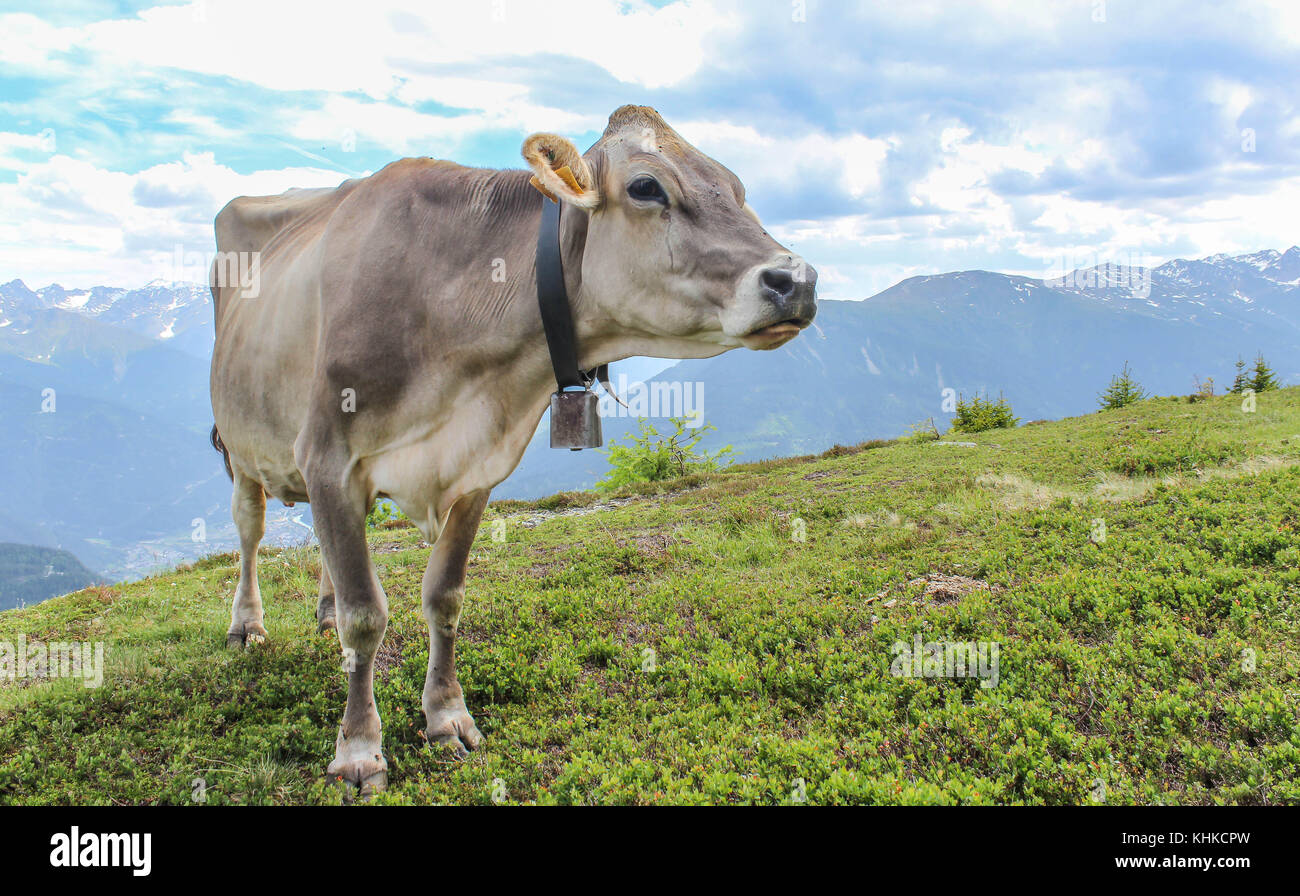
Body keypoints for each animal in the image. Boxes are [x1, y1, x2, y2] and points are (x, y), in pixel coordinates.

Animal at [210, 101, 811, 795]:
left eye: (737, 188)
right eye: (645, 187)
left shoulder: (479, 468)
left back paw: (324, 614)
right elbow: (368, 616)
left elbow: (444, 596)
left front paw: (446, 717)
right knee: (250, 531)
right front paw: (359, 750)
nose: (798, 280)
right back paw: (247, 625)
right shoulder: (329, 453)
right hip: (240, 445)